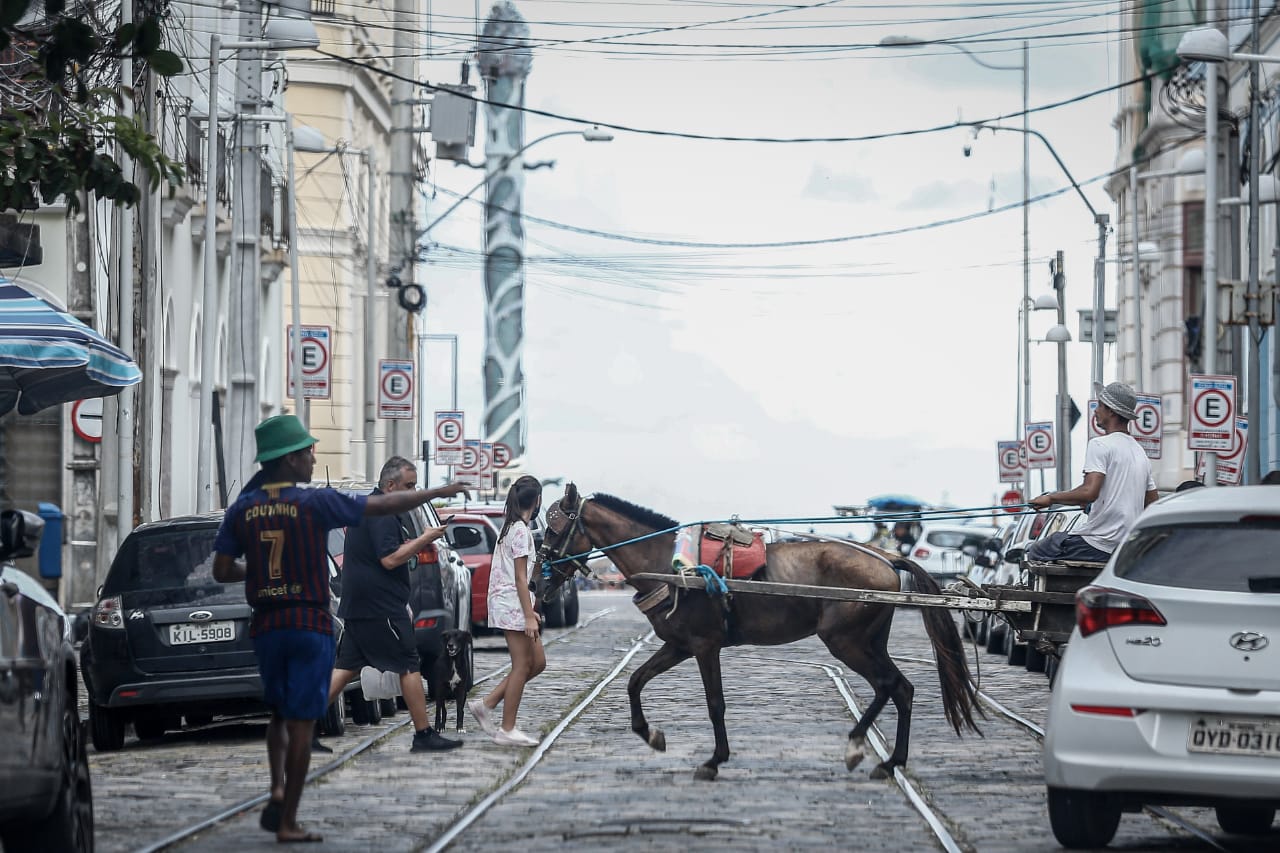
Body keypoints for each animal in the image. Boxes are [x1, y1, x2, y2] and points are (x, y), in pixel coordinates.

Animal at [537, 481, 977, 778]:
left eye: (554, 529)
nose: (538, 583)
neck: (668, 562)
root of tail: (885, 557)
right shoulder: (678, 646)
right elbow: (634, 682)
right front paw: (650, 734)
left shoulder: (704, 645)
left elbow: (715, 703)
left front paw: (715, 759)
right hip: (869, 641)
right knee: (900, 688)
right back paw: (889, 760)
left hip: (845, 641)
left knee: (889, 685)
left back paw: (859, 745)